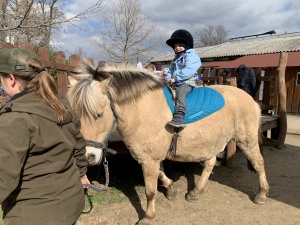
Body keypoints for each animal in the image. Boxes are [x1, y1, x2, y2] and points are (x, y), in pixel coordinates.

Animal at [67, 60, 270, 223]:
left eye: (99, 114)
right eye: (76, 115)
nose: (88, 156)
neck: (141, 110)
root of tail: (251, 99)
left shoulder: (150, 159)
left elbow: (150, 190)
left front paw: (148, 217)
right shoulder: (148, 157)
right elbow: (161, 175)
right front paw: (171, 190)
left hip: (247, 140)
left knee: (259, 162)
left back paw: (261, 194)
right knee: (210, 163)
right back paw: (195, 192)